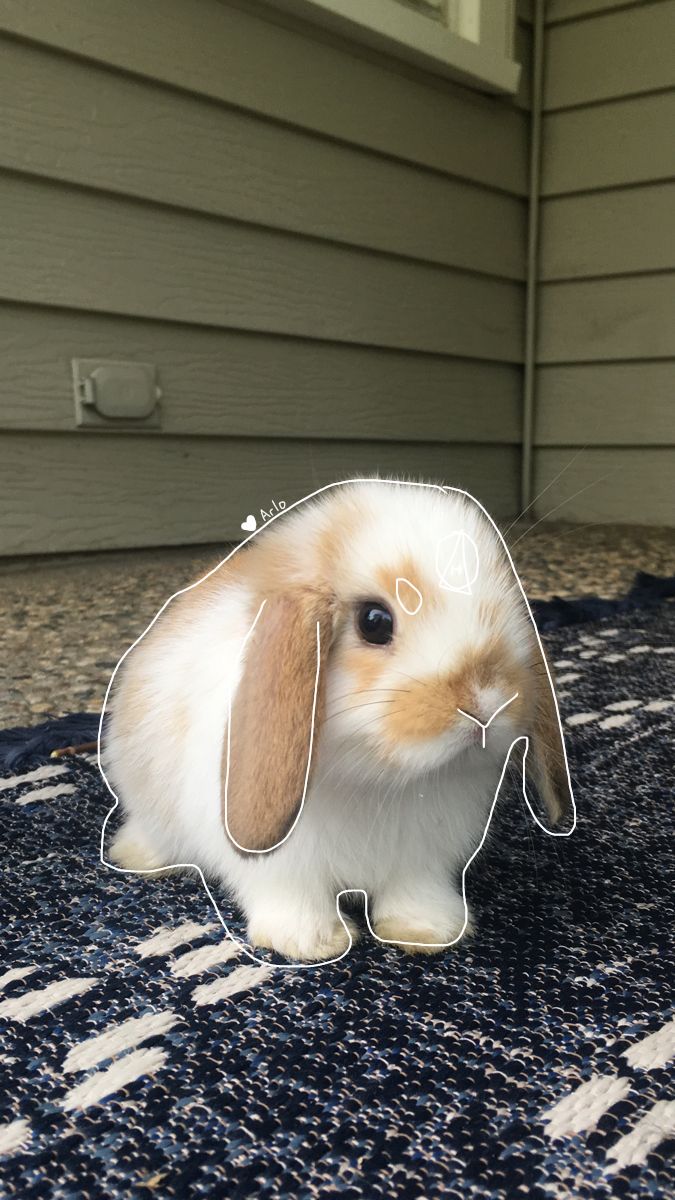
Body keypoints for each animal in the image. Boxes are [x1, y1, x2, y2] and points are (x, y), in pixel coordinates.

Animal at [102, 479, 573, 963]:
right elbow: (292, 898)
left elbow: (414, 894)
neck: (378, 782)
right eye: (374, 621)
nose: (486, 703)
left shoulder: (421, 860)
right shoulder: (283, 867)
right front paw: (309, 943)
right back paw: (138, 857)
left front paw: (427, 932)